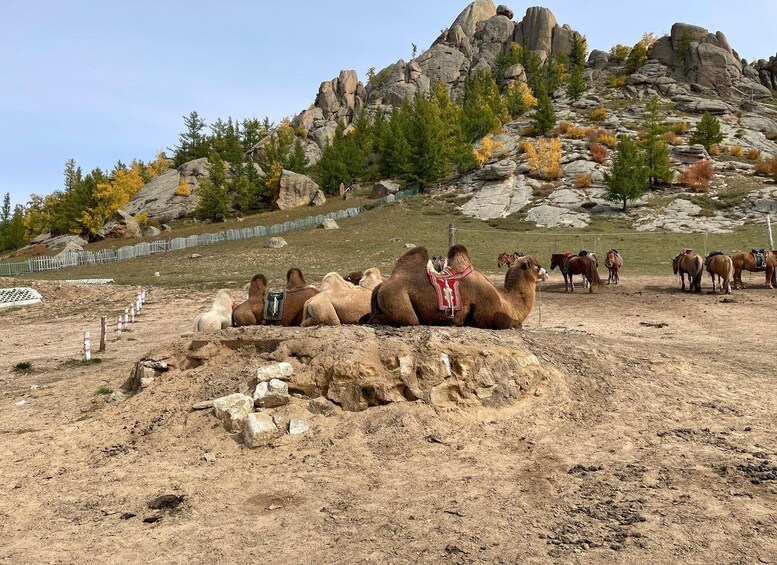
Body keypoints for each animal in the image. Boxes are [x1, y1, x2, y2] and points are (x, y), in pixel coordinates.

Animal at [365, 245, 547, 329]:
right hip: (398, 298)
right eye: (537, 266)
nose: (546, 273)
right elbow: (515, 324)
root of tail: (380, 287)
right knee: (407, 319)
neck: (507, 300)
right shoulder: (488, 315)